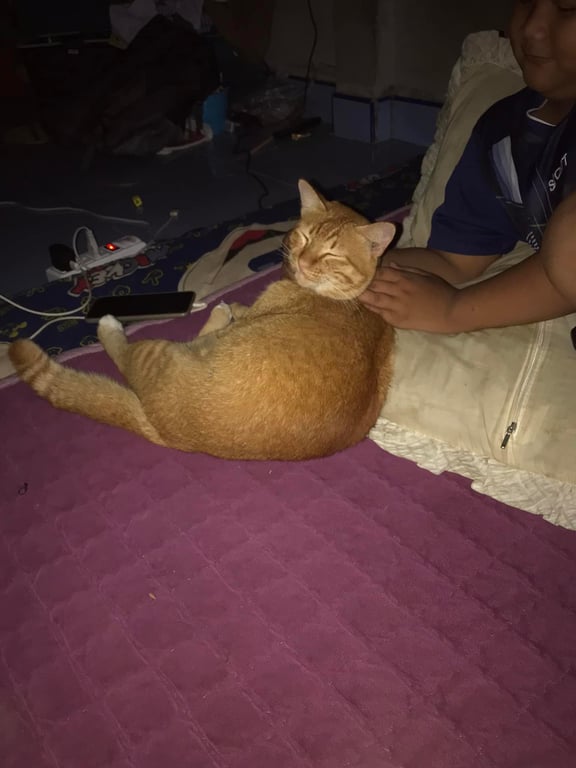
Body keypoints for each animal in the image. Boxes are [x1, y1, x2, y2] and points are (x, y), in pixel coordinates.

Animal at [9, 180, 396, 460]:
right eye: (303, 237)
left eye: (331, 254)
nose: (301, 261)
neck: (351, 299)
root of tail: (171, 436)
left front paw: (231, 305)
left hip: (158, 352)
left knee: (128, 354)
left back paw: (115, 324)